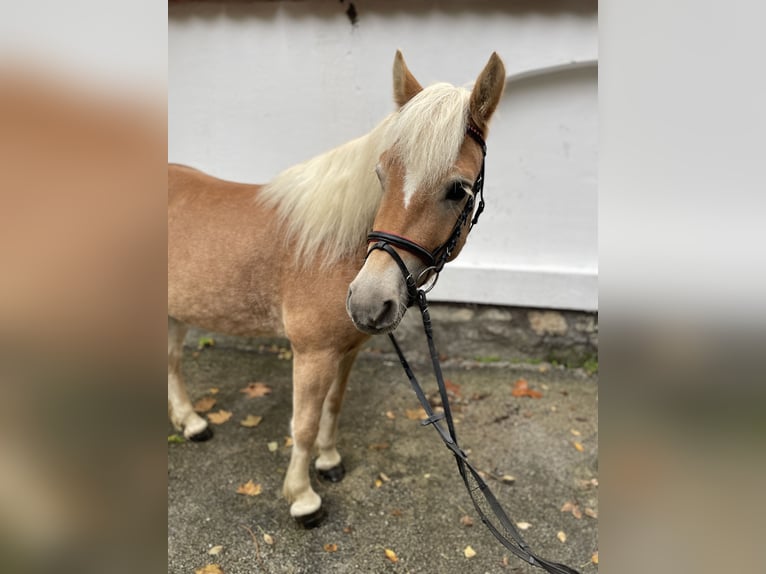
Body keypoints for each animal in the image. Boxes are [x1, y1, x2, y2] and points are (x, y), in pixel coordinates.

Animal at [168, 51, 508, 528]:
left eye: (457, 189)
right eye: (381, 175)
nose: (368, 301)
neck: (333, 247)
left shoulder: (345, 351)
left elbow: (333, 406)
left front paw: (328, 462)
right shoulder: (312, 354)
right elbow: (304, 424)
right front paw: (302, 499)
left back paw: (191, 422)